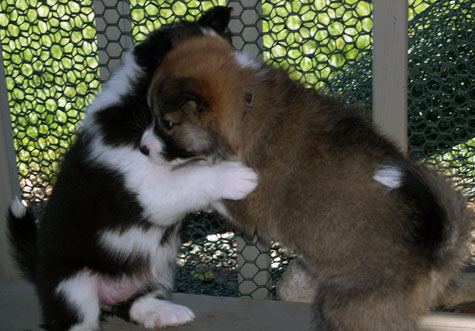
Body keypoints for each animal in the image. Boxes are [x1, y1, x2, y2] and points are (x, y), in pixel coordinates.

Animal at [7, 7, 256, 331]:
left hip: (160, 270)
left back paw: (161, 311)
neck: (141, 112)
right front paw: (236, 175)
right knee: (78, 320)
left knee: (135, 302)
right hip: (73, 285)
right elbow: (193, 178)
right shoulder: (145, 189)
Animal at [148, 18, 472, 331]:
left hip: (342, 306)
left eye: (167, 123)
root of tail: (434, 256)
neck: (246, 104)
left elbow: (201, 174)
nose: (144, 148)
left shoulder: (249, 208)